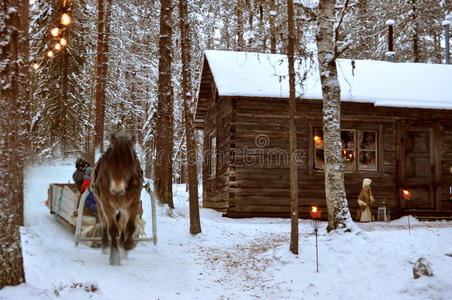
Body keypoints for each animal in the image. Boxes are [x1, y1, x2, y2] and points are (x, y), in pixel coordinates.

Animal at [94, 133, 145, 264]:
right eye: (110, 162)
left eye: (130, 164)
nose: (117, 190)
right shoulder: (107, 205)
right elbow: (112, 228)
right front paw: (114, 255)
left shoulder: (133, 204)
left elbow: (130, 226)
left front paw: (127, 245)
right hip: (99, 204)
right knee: (104, 223)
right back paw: (106, 245)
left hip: (123, 208)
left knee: (122, 225)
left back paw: (122, 243)